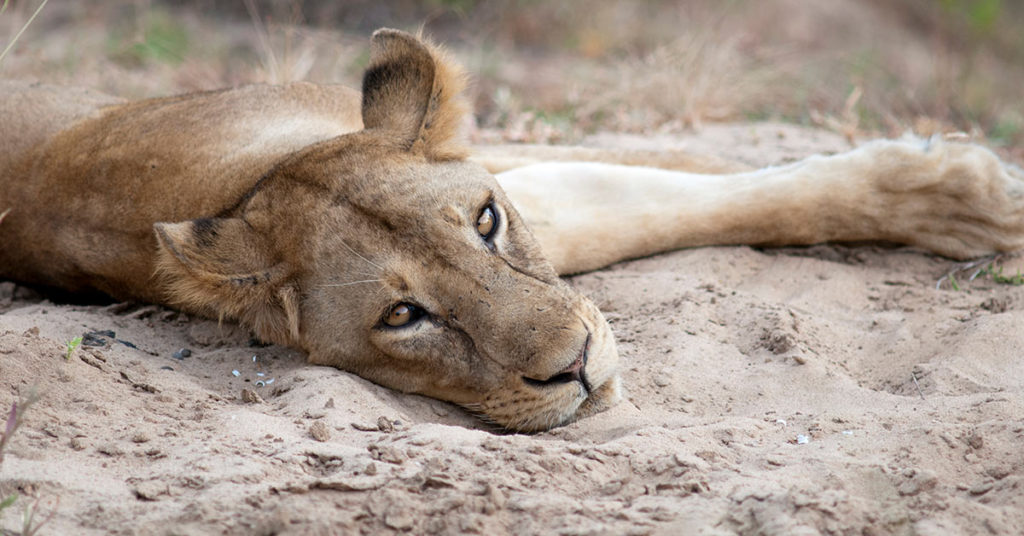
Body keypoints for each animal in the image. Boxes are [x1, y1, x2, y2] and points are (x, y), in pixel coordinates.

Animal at [1, 29, 1022, 432]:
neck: (253, 175)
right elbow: (693, 196)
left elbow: (698, 182)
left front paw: (967, 197)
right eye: (403, 318)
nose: (577, 368)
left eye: (487, 222)